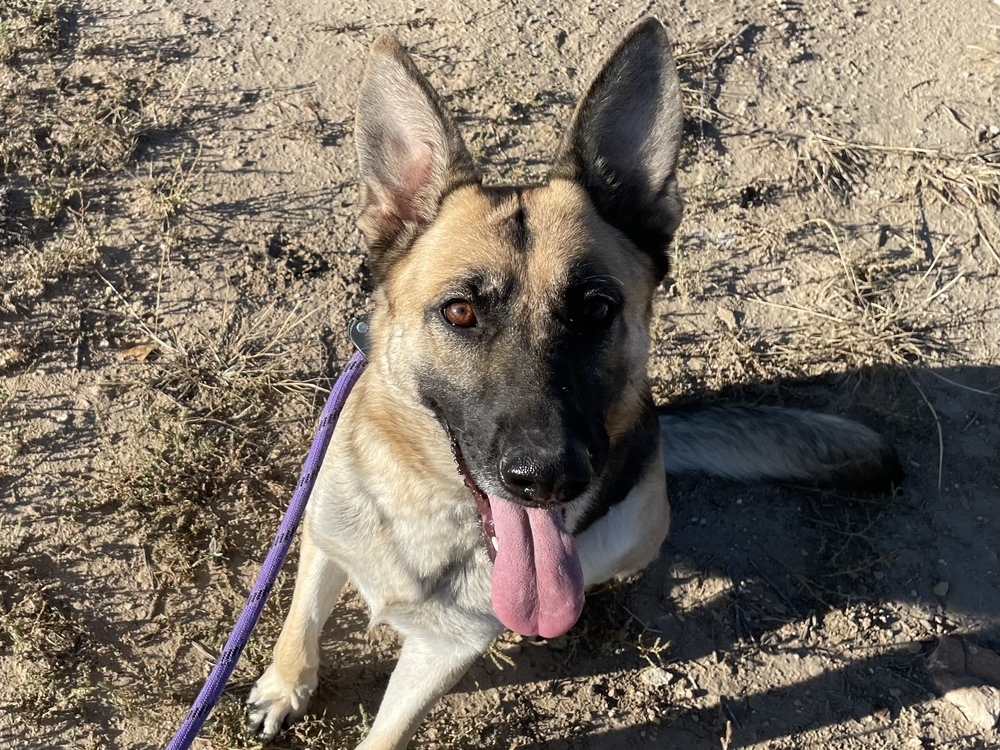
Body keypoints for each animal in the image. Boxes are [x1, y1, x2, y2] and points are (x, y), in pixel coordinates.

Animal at [246, 19, 904, 750]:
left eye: (595, 309)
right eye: (460, 312)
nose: (549, 478)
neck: (431, 507)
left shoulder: (444, 651)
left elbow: (387, 732)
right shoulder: (318, 537)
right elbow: (298, 625)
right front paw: (283, 686)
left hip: (638, 528)